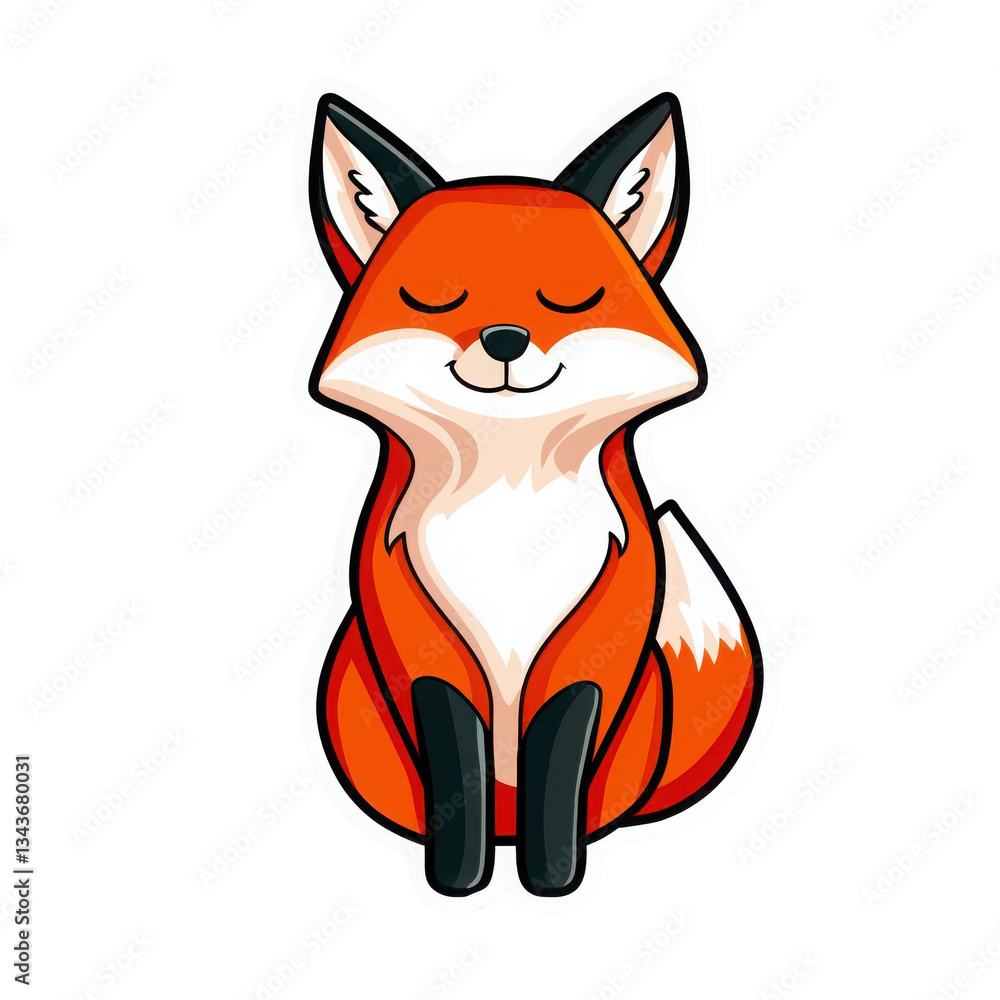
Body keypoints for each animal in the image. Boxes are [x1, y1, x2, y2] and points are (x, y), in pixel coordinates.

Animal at [305, 91, 763, 897]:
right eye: (434, 297)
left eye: (572, 298)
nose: (506, 338)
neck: (508, 514)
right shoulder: (418, 642)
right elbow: (457, 759)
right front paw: (459, 880)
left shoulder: (598, 642)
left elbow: (560, 749)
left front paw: (553, 878)